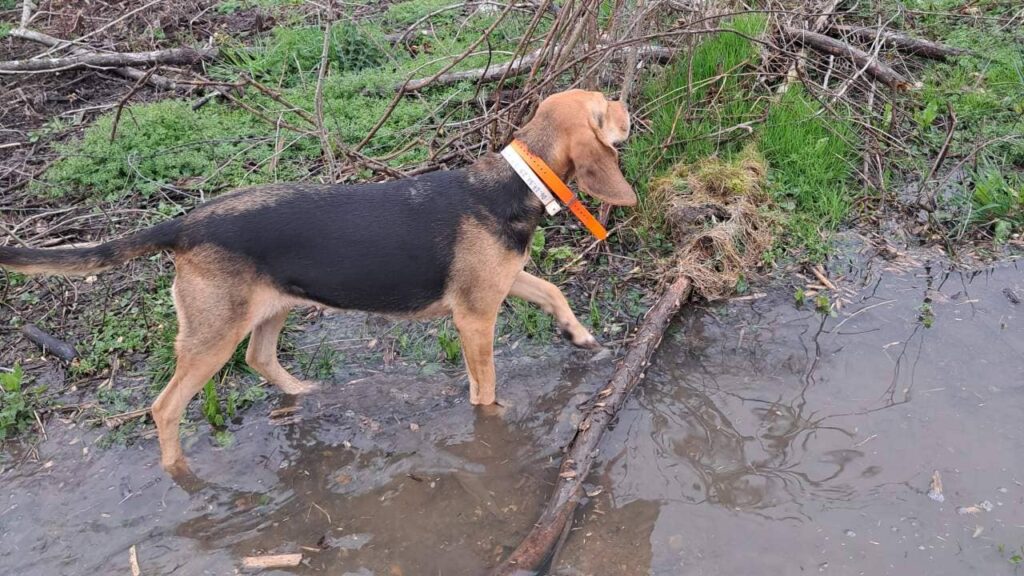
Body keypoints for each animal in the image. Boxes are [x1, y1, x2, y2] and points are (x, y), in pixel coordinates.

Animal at [0, 87, 634, 469]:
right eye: (606, 109)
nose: (629, 106)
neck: (516, 181)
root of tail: (185, 222)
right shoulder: (475, 315)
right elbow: (486, 387)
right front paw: (491, 424)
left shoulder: (501, 284)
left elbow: (553, 291)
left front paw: (579, 336)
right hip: (212, 335)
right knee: (166, 406)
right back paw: (179, 470)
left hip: (271, 309)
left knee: (259, 359)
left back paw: (306, 394)